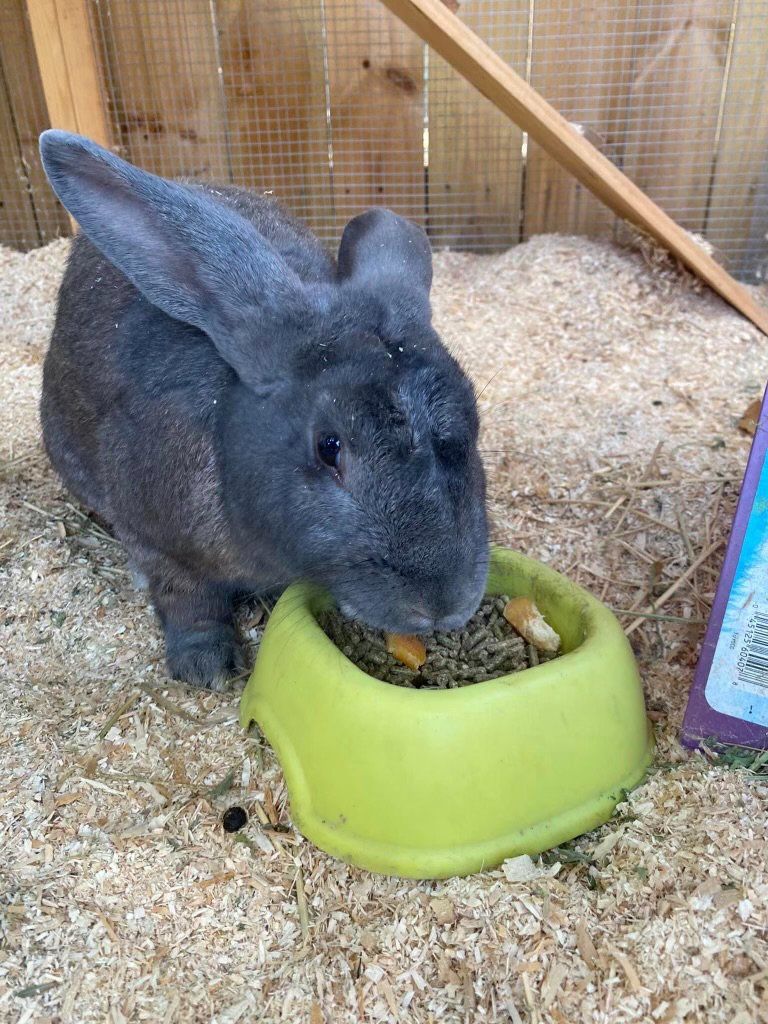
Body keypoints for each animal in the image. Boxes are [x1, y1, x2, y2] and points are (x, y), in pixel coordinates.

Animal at [38, 130, 489, 689]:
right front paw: (207, 668)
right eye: (329, 447)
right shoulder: (158, 545)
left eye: (475, 423)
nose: (443, 606)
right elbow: (187, 602)